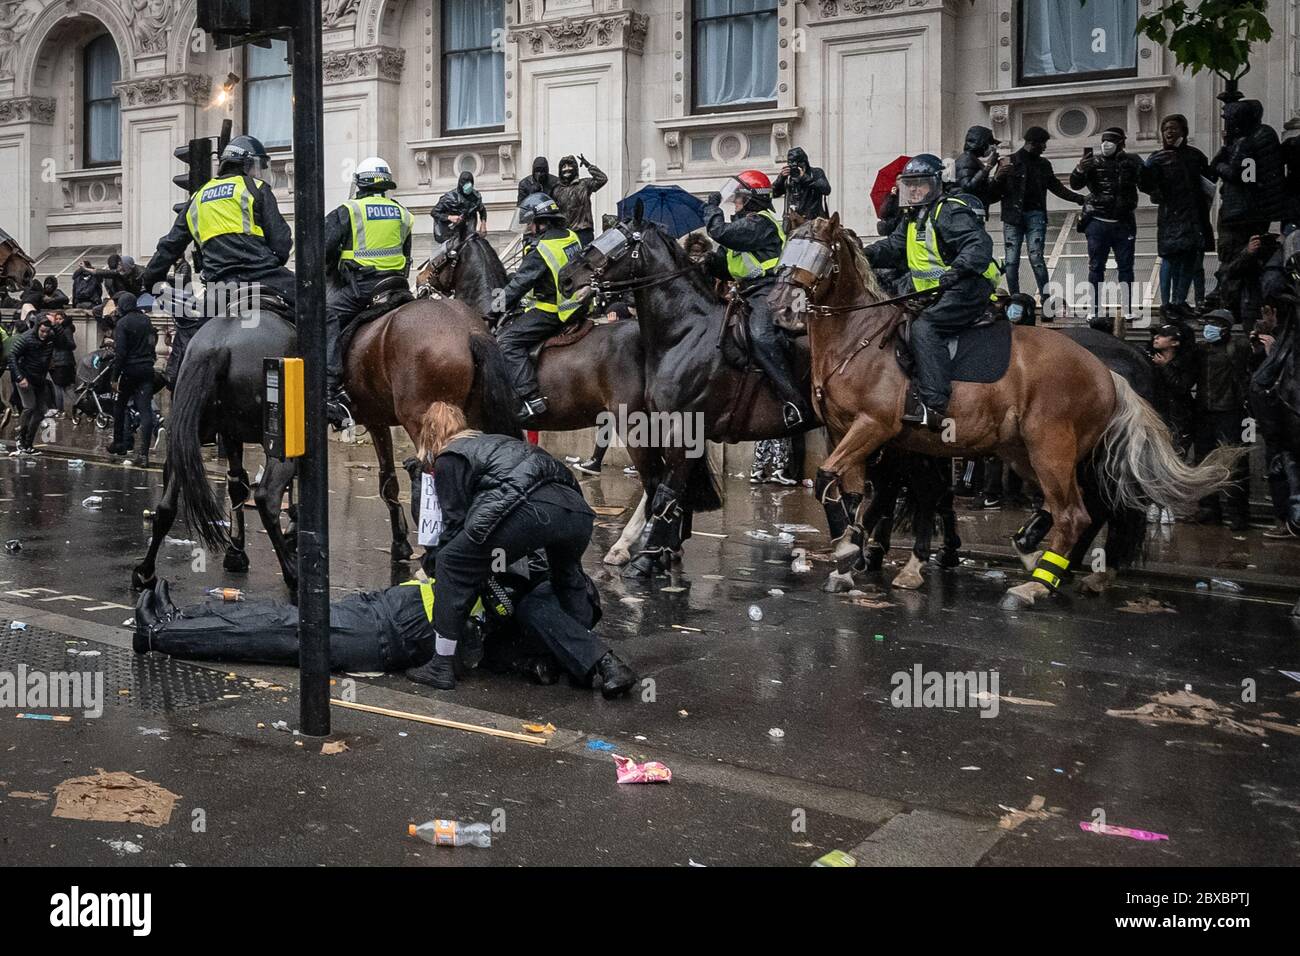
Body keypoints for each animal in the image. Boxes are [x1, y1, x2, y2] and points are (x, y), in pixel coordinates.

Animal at [769, 214, 1237, 608]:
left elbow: (837, 481)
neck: (857, 340)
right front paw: (850, 555)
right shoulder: (846, 433)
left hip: (1052, 447)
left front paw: (861, 552)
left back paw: (1038, 583)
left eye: (820, 253)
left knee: (1076, 512)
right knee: (1078, 507)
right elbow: (848, 492)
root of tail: (1106, 372)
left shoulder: (875, 428)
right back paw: (1038, 554)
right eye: (789, 247)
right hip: (1028, 451)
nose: (781, 307)